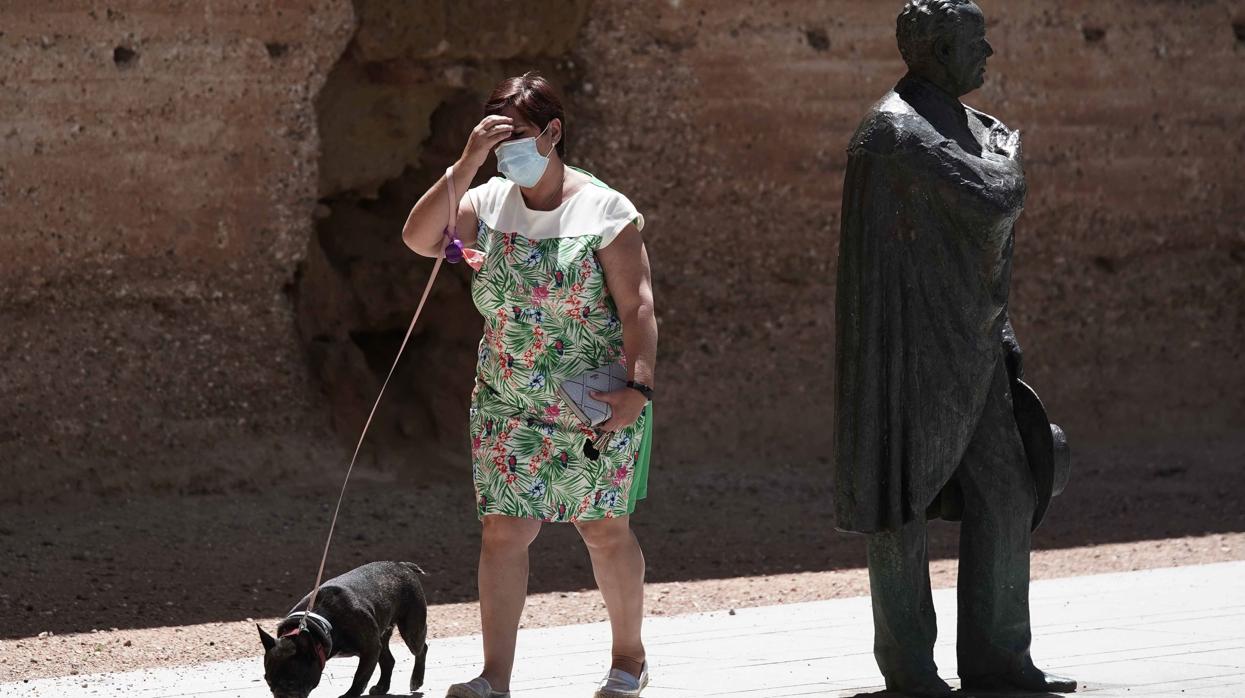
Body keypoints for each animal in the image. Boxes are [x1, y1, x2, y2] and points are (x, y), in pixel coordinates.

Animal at [256, 559, 428, 696]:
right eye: (268, 682)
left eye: (292, 682)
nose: (279, 693)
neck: (320, 624)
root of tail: (402, 565)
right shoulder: (373, 647)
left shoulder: (370, 649)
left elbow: (359, 678)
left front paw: (349, 695)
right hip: (382, 634)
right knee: (388, 660)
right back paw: (382, 687)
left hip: (411, 631)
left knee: (421, 648)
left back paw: (416, 679)